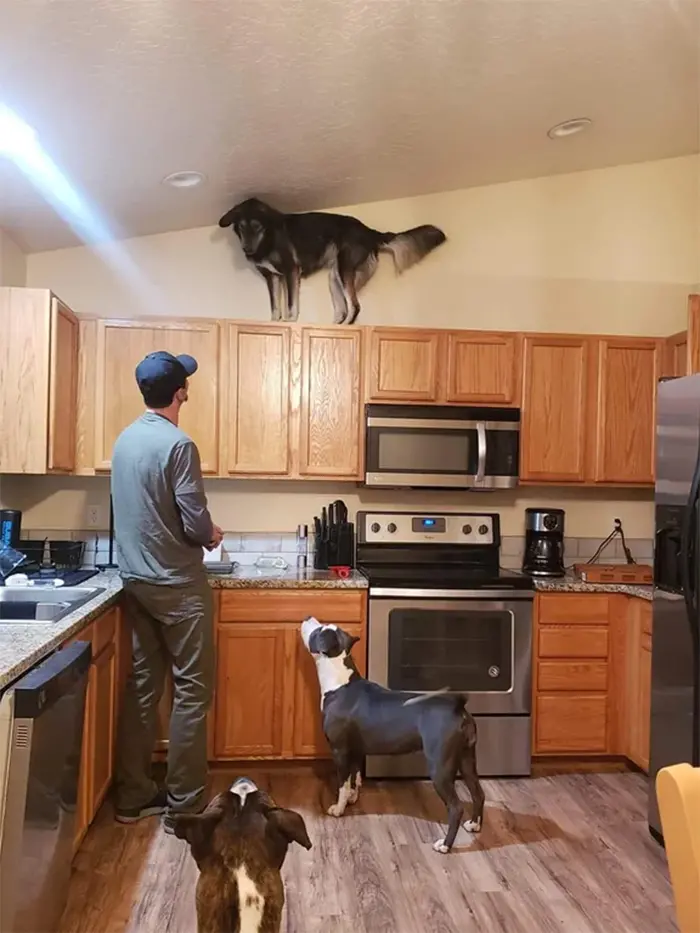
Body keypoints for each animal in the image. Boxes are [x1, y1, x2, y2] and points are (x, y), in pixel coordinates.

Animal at [217, 195, 442, 326]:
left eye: (257, 226)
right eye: (241, 227)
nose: (247, 250)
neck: (268, 237)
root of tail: (370, 232)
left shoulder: (291, 270)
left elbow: (291, 304)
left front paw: (290, 322)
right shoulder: (272, 277)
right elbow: (275, 307)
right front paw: (274, 323)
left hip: (343, 269)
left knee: (355, 306)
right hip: (334, 277)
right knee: (343, 309)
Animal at [300, 616, 486, 856]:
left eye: (318, 631)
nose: (308, 617)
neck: (338, 678)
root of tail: (458, 708)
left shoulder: (339, 750)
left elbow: (342, 782)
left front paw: (338, 808)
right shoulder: (355, 749)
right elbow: (354, 777)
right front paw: (352, 798)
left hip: (441, 767)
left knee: (456, 807)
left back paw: (444, 845)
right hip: (466, 759)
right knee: (478, 793)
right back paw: (474, 825)